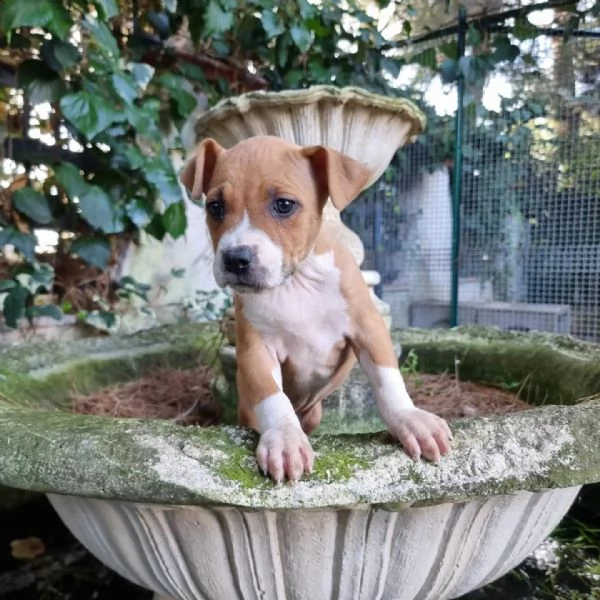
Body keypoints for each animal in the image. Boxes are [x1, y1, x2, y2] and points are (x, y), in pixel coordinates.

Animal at [180, 135, 452, 482]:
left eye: (284, 205)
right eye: (215, 206)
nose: (235, 259)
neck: (296, 282)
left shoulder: (368, 328)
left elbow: (388, 380)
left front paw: (411, 419)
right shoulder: (255, 349)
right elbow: (272, 396)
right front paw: (284, 438)